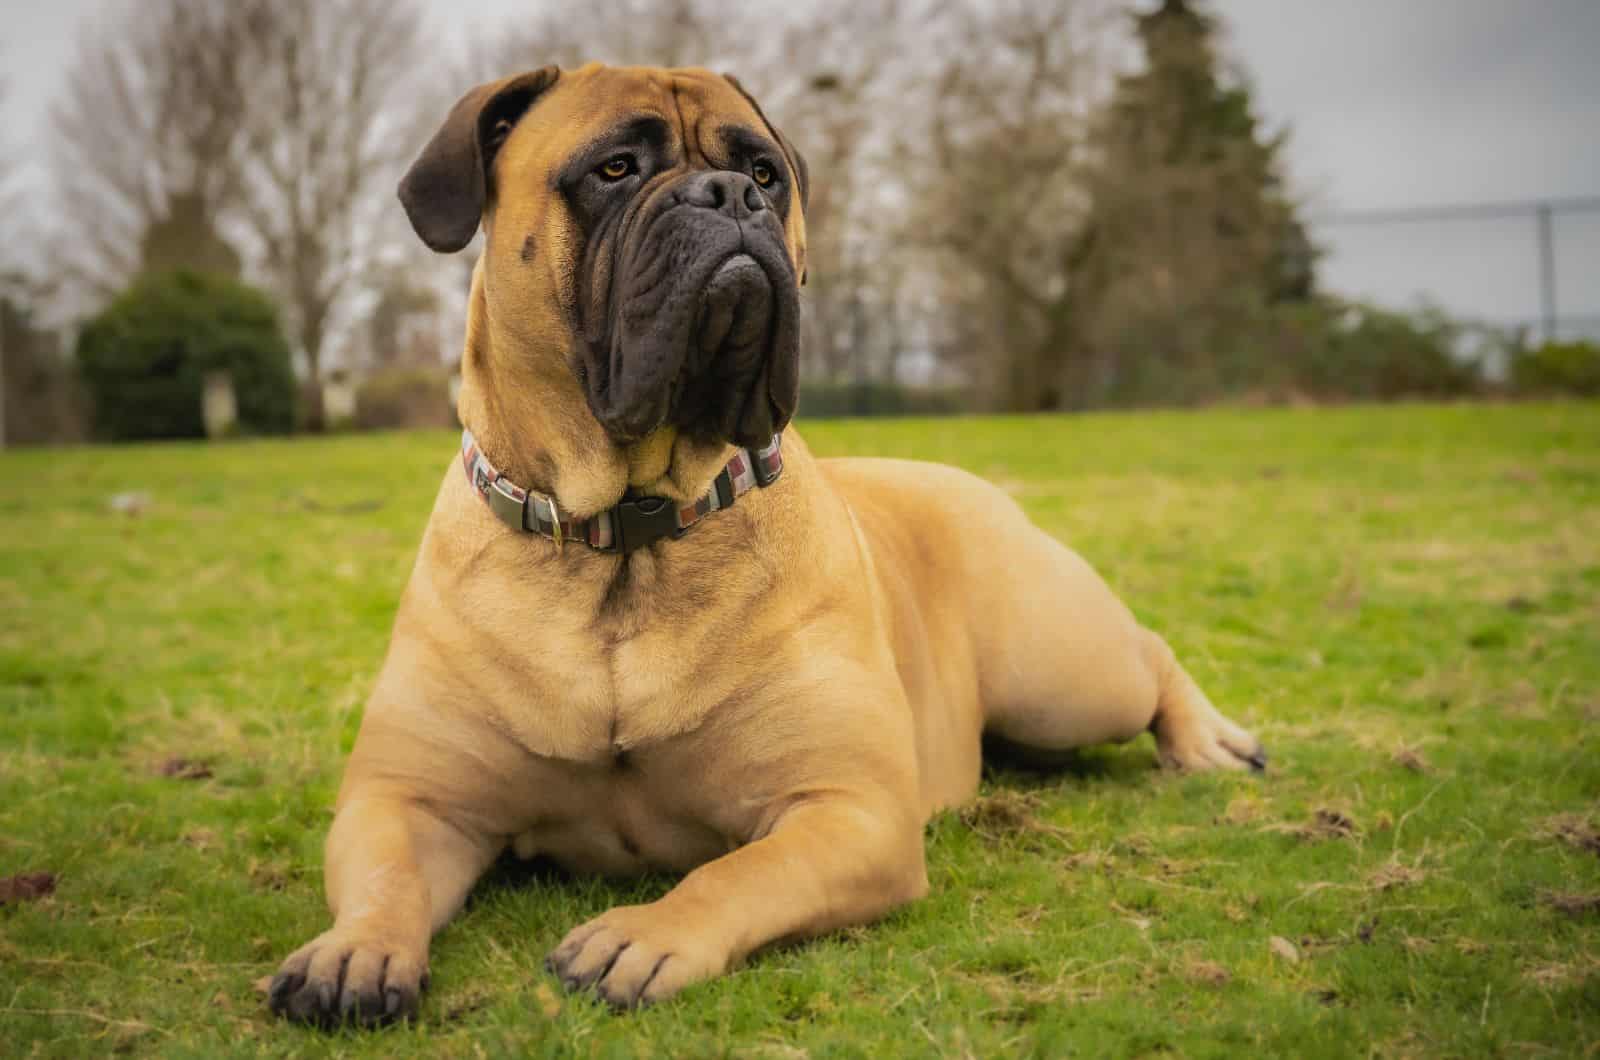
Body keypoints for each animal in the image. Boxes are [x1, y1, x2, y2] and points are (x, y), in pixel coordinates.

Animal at [265, 62, 1260, 1024]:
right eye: (613, 169)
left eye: (765, 173)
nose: (728, 195)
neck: (629, 534)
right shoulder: (410, 800)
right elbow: (386, 875)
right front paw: (355, 952)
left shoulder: (848, 811)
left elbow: (736, 870)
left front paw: (643, 935)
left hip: (1060, 676)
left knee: (1149, 655)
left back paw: (1209, 740)